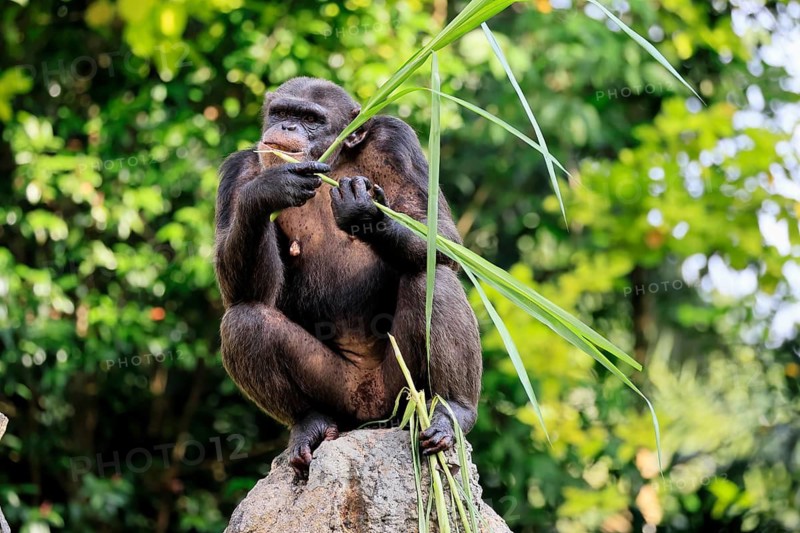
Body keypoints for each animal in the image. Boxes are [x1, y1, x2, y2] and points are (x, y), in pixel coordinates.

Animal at [214, 77, 482, 479]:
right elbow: (245, 291)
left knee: (431, 280)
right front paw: (267, 190)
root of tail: (367, 415)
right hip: (339, 395)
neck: (334, 160)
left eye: (311, 119)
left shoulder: (396, 141)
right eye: (281, 112)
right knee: (244, 320)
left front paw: (364, 212)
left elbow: (441, 235)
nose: (287, 127)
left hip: (400, 393)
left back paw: (453, 411)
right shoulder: (238, 170)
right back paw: (310, 423)